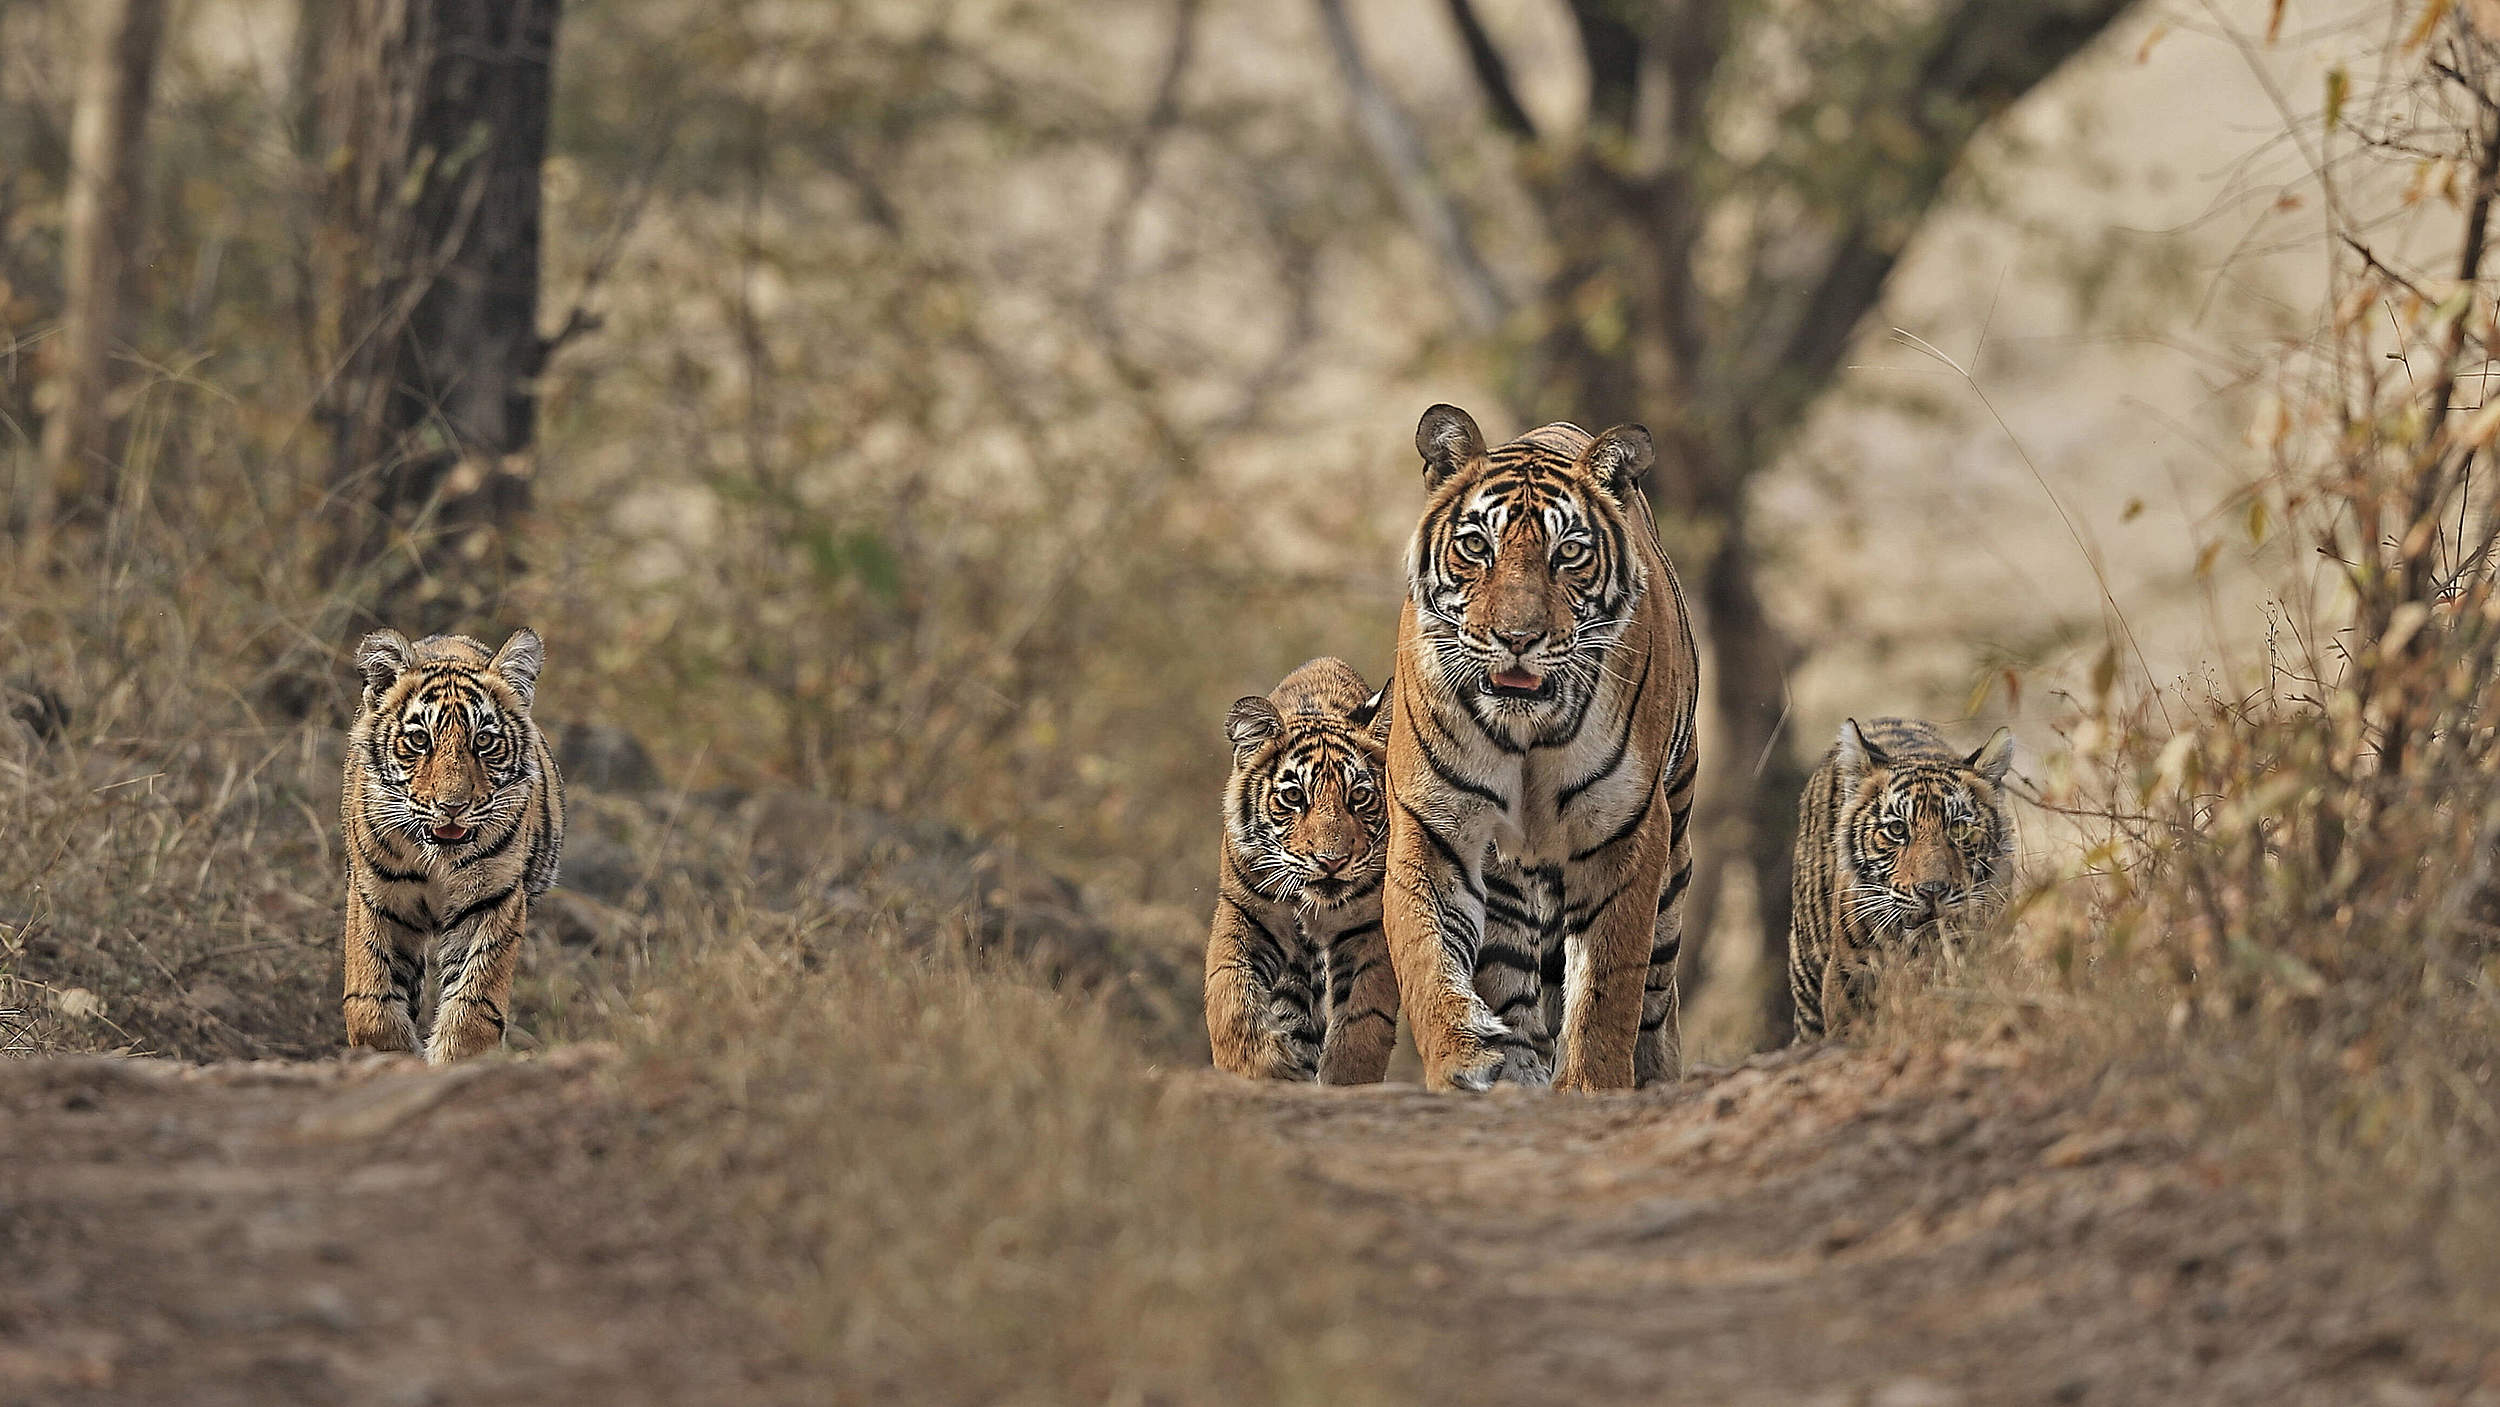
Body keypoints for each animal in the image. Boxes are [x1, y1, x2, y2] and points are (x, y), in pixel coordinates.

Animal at [342, 629, 567, 1069]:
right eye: (419, 739)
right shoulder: (375, 895)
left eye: (484, 741)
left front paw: (457, 1057)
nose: (452, 806)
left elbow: (474, 997)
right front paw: (389, 1054)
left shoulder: (493, 898)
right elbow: (371, 996)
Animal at [1210, 659, 1410, 1089]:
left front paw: (1346, 1080)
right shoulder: (1247, 911)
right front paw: (1261, 1068)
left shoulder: (1369, 925)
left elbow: (1364, 1018)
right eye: (1293, 796)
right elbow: (1230, 993)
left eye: (1359, 796)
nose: (1331, 860)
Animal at [1380, 402, 1710, 1094]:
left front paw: (1590, 1084)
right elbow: (1428, 957)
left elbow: (1607, 984)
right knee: (1515, 978)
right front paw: (1463, 1058)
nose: (1517, 638)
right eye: (1477, 546)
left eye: (1570, 554)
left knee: (1655, 994)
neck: (1526, 733)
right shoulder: (1432, 826)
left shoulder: (1624, 831)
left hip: (1676, 851)